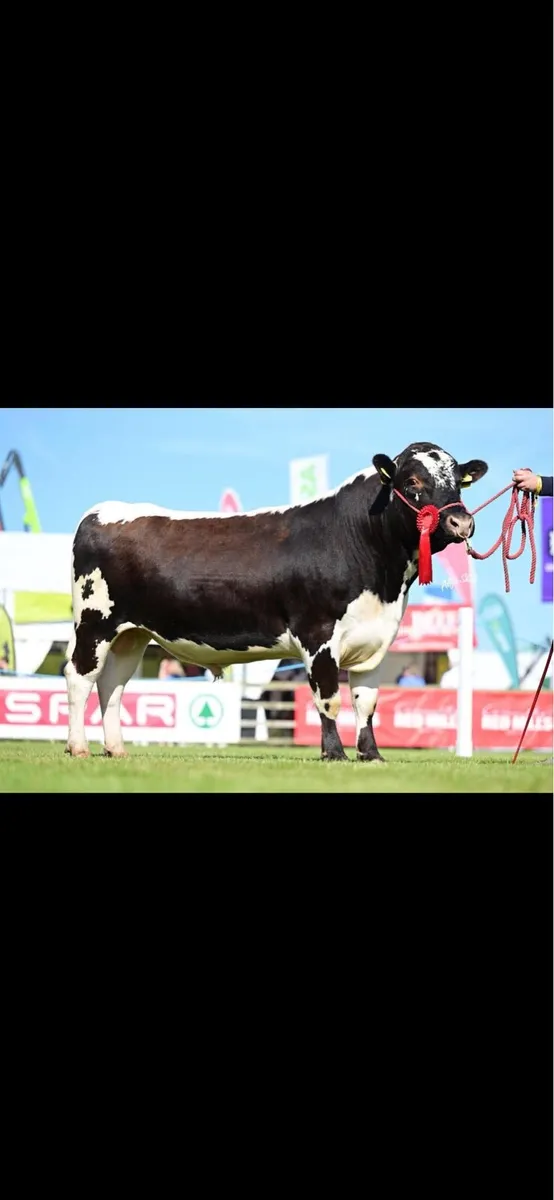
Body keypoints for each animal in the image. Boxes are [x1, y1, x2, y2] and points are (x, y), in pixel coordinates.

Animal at [64, 441, 488, 763]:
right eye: (413, 480)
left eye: (459, 484)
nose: (461, 522)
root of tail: (101, 511)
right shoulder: (318, 636)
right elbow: (329, 700)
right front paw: (334, 754)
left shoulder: (375, 642)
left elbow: (365, 703)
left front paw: (371, 755)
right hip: (94, 622)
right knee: (80, 677)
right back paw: (78, 747)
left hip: (131, 633)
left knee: (113, 684)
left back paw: (116, 749)